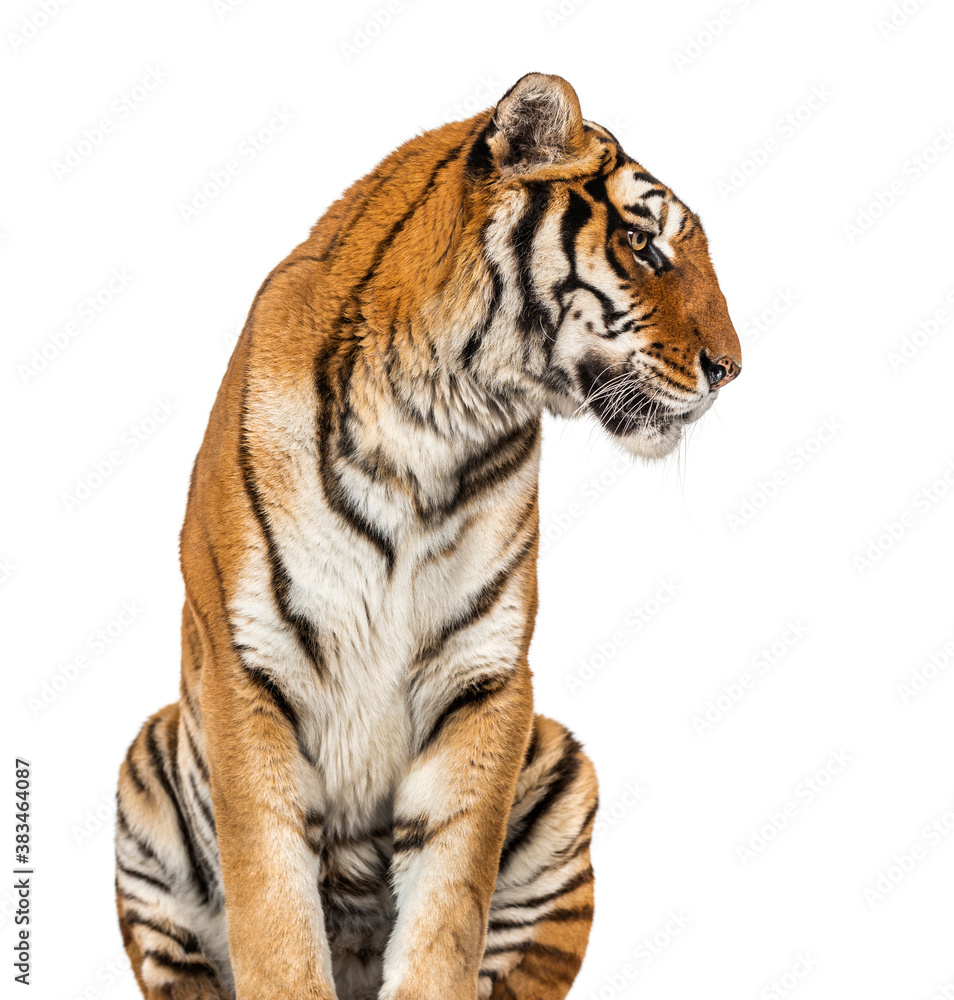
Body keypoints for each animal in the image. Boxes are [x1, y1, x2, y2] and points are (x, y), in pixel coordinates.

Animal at [114, 72, 741, 1000]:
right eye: (640, 243)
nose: (732, 368)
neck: (437, 424)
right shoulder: (246, 664)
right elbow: (272, 911)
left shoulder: (484, 675)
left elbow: (447, 908)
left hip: (563, 773)